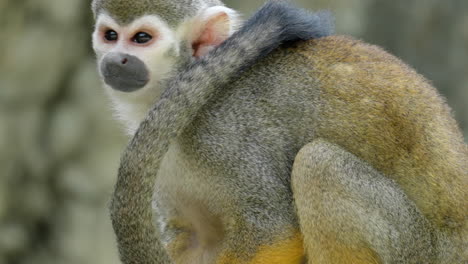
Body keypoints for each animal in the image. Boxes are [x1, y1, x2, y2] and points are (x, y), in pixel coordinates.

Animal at [92, 0, 468, 264]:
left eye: (141, 38)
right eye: (110, 35)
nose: (116, 59)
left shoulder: (227, 130)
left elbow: (272, 230)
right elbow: (196, 237)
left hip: (415, 248)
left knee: (318, 164)